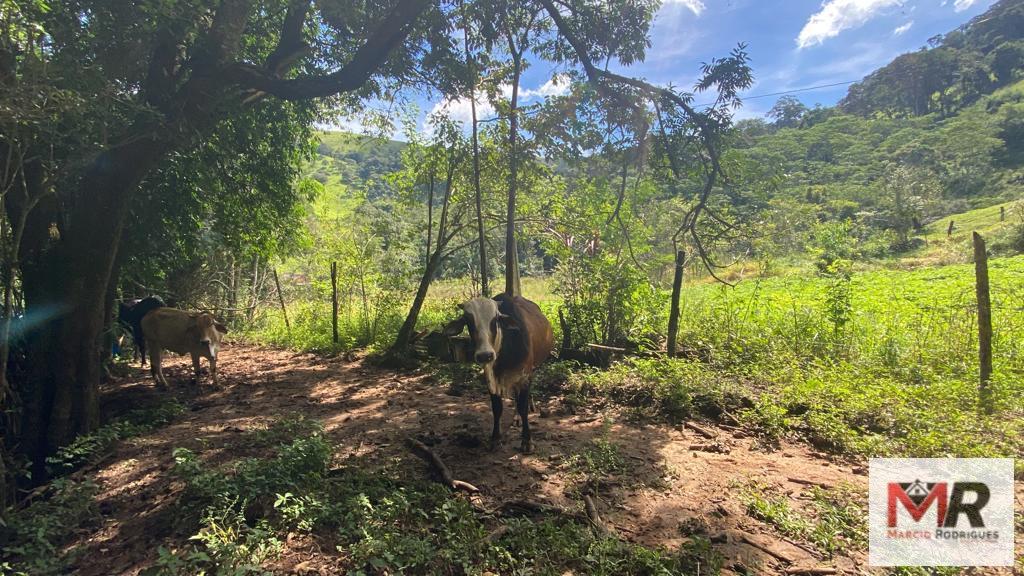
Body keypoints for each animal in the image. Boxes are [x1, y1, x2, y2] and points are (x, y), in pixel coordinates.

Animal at [440, 293, 552, 450]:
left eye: (496, 319)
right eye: (468, 320)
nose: (485, 355)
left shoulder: (525, 376)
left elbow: (523, 407)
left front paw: (527, 441)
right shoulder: (490, 377)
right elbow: (497, 408)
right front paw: (495, 438)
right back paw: (516, 418)